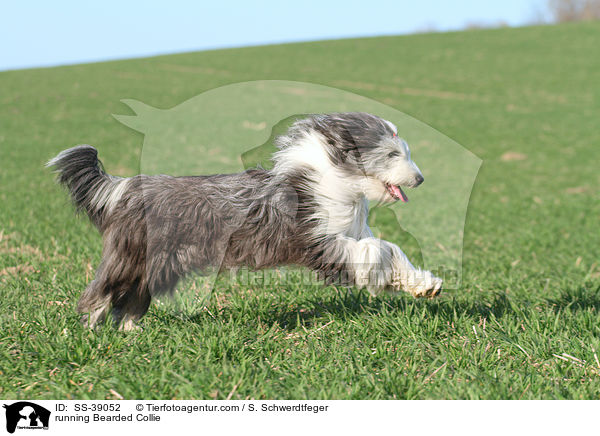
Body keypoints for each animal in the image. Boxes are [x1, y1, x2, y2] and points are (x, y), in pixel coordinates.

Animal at [48, 112, 440, 330]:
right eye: (392, 154)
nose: (421, 179)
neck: (331, 181)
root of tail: (126, 188)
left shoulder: (351, 233)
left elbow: (391, 250)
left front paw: (424, 285)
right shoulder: (319, 242)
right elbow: (376, 250)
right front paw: (387, 279)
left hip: (156, 265)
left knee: (130, 299)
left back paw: (132, 331)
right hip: (132, 257)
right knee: (102, 291)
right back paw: (90, 328)